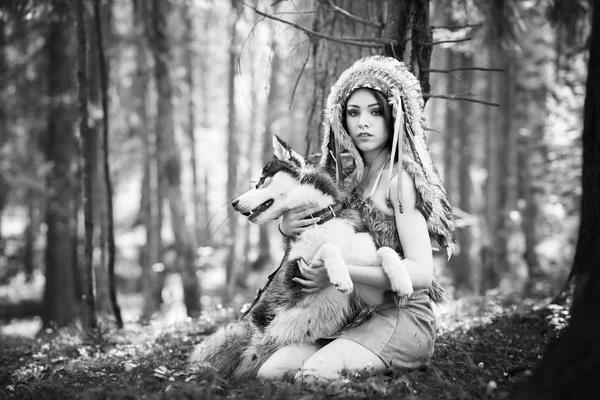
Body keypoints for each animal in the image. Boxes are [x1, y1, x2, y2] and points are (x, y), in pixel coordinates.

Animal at [189, 137, 412, 378]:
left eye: (261, 181)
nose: (234, 203)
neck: (319, 219)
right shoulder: (294, 270)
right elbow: (328, 247)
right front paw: (340, 275)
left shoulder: (368, 295)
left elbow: (385, 251)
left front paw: (402, 281)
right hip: (231, 334)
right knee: (202, 358)